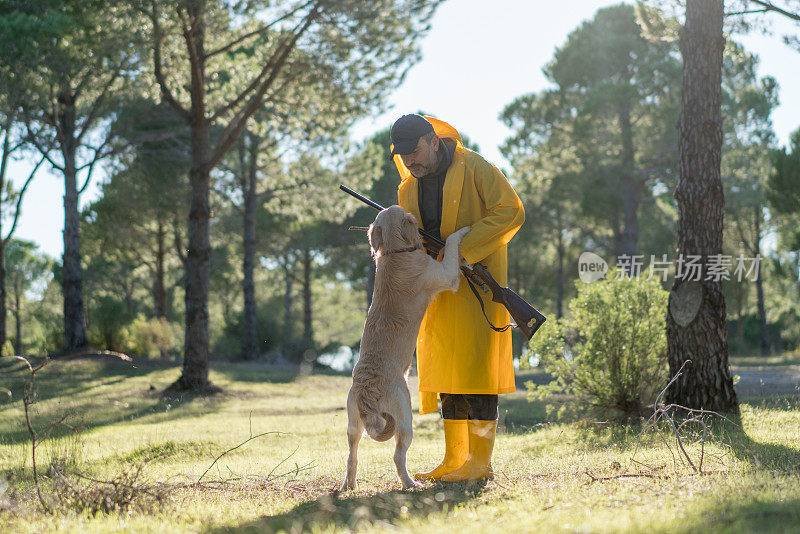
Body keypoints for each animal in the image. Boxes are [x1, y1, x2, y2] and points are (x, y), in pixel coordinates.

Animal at [340, 206, 468, 494]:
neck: (394, 252)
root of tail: (367, 389)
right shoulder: (446, 275)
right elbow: (452, 243)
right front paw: (462, 231)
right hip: (404, 418)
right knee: (398, 456)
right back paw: (411, 483)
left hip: (354, 424)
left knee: (352, 455)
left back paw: (349, 486)